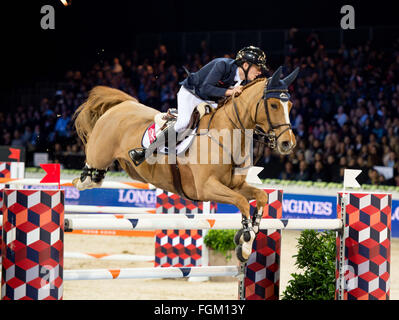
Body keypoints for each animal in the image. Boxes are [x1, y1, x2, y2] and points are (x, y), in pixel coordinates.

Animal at [72, 65, 298, 262]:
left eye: (290, 105)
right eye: (274, 105)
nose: (288, 143)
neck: (227, 135)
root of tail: (122, 105)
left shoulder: (235, 185)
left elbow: (261, 197)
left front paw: (247, 241)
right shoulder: (206, 188)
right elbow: (242, 202)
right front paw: (245, 239)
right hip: (100, 153)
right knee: (90, 171)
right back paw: (83, 181)